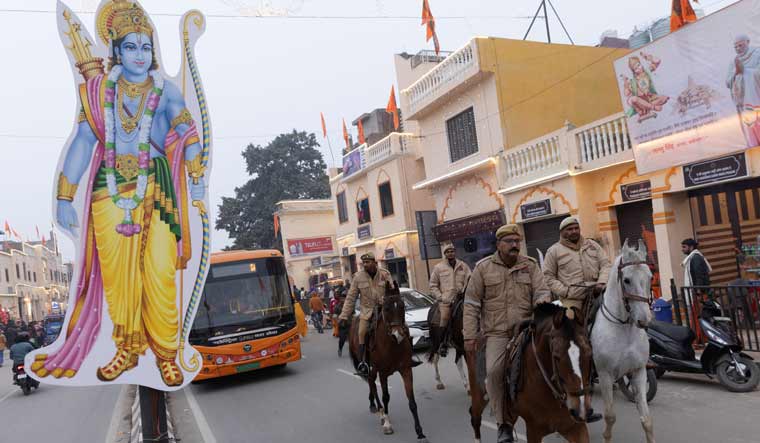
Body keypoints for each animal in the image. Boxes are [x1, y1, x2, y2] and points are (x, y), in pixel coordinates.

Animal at [348, 282, 428, 442]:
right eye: (386, 308)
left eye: (402, 306)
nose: (398, 334)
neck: (392, 344)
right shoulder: (383, 373)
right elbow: (386, 397)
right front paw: (387, 423)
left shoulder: (406, 370)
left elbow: (412, 401)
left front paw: (420, 432)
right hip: (370, 367)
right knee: (373, 385)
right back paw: (380, 411)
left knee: (371, 383)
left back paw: (374, 405)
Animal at [592, 241, 656, 442]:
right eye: (626, 280)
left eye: (650, 277)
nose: (644, 320)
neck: (624, 329)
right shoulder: (604, 375)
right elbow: (610, 417)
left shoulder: (639, 371)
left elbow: (647, 420)